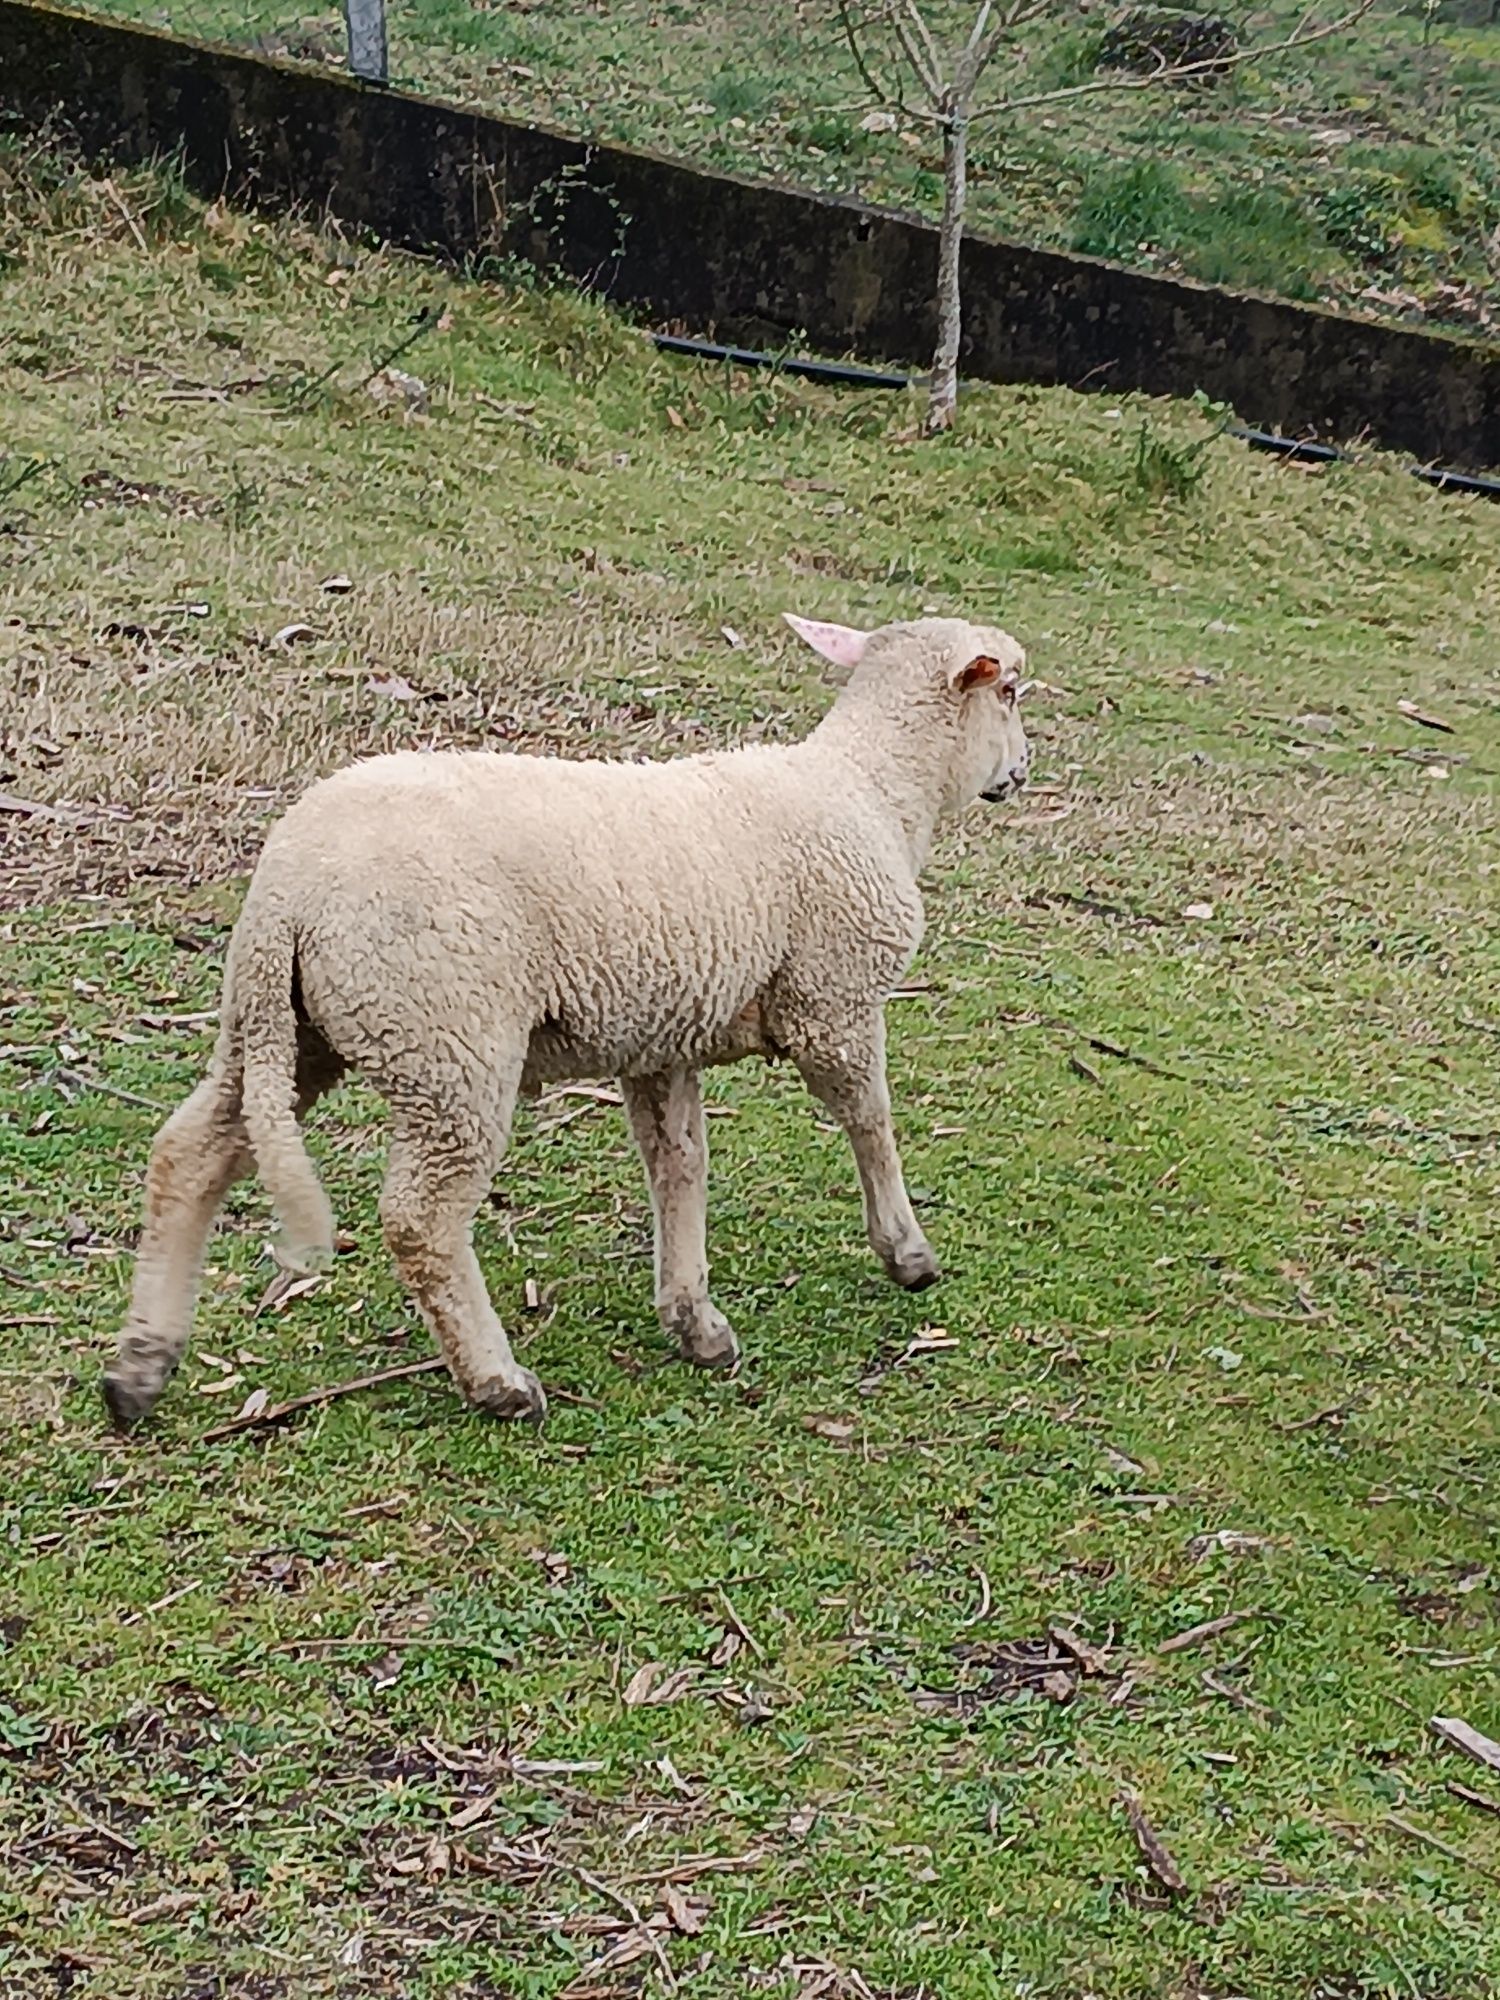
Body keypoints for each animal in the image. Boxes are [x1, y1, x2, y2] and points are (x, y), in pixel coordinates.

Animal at [100, 616, 1032, 1432]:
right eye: (1013, 692)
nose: (1023, 771)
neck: (875, 789)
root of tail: (286, 890)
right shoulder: (833, 1001)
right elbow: (870, 1121)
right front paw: (907, 1253)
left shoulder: (662, 1033)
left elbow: (679, 1166)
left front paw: (694, 1318)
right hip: (450, 1041)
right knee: (418, 1219)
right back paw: (497, 1382)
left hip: (283, 1027)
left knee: (190, 1152)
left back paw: (140, 1367)